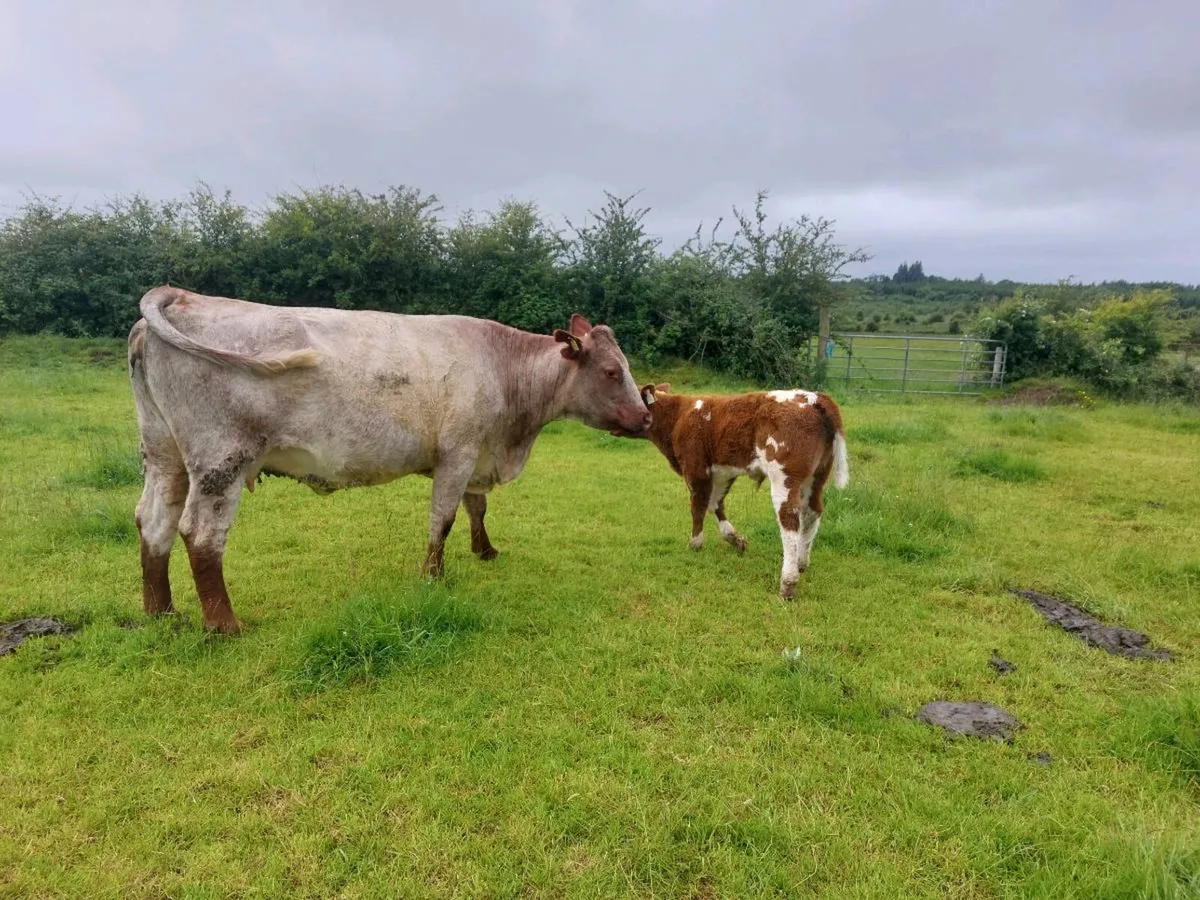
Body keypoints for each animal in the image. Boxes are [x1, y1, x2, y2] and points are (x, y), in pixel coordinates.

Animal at [128, 286, 651, 635]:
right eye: (611, 371)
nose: (646, 417)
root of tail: (184, 295)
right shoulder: (459, 452)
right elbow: (443, 517)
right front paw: (433, 577)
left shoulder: (478, 454)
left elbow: (476, 507)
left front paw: (485, 550)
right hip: (221, 460)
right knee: (201, 535)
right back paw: (224, 625)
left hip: (164, 453)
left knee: (153, 521)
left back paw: (161, 613)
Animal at [631, 383, 849, 599]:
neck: (678, 415)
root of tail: (813, 397)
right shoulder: (722, 471)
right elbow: (715, 503)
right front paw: (735, 539)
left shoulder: (696, 469)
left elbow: (698, 507)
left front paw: (695, 543)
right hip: (817, 476)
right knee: (812, 513)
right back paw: (801, 563)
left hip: (785, 477)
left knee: (789, 520)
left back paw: (788, 582)